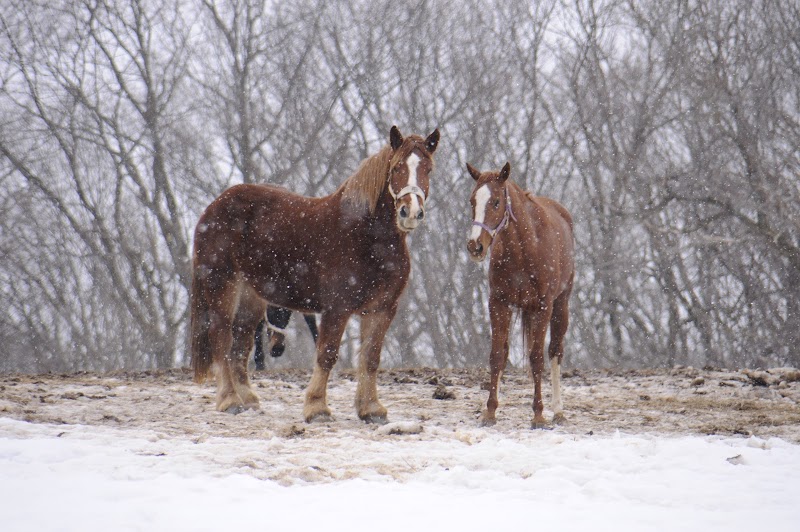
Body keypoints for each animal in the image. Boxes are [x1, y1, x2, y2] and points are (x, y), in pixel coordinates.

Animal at [468, 162, 576, 428]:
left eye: (496, 202)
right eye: (472, 201)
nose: (475, 246)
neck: (524, 248)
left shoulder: (542, 307)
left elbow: (537, 358)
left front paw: (538, 414)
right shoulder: (498, 303)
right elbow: (497, 355)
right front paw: (490, 411)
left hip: (561, 305)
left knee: (555, 351)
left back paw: (558, 410)